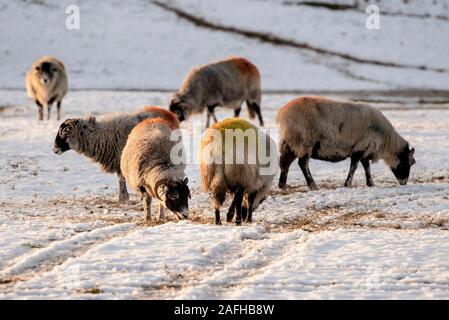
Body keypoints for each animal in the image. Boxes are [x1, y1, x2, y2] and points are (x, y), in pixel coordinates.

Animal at [276, 96, 416, 189]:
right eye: (408, 162)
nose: (404, 183)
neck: (385, 142)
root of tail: (282, 114)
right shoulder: (359, 149)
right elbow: (354, 167)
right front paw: (348, 184)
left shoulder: (364, 149)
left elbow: (366, 167)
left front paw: (370, 183)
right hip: (303, 142)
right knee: (302, 164)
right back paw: (313, 185)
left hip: (290, 143)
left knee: (285, 163)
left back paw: (282, 185)